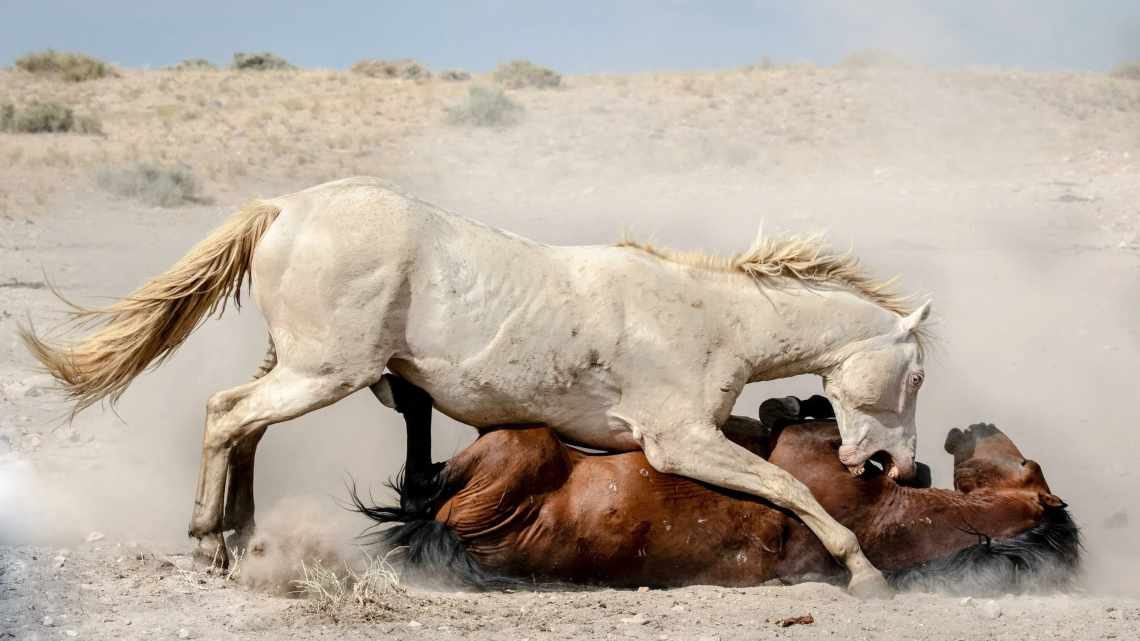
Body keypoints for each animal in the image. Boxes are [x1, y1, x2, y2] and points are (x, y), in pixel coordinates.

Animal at [26, 175, 930, 593]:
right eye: (917, 372)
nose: (902, 467)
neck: (712, 318)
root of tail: (285, 207)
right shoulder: (681, 443)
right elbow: (790, 486)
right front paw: (864, 573)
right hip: (322, 372)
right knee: (226, 415)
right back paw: (209, 541)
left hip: (302, 368)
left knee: (246, 426)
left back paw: (244, 534)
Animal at [353, 376, 1076, 593]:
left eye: (1030, 468)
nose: (976, 427)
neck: (892, 521)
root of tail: (445, 536)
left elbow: (796, 418)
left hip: (518, 442)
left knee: (419, 472)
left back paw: (403, 385)